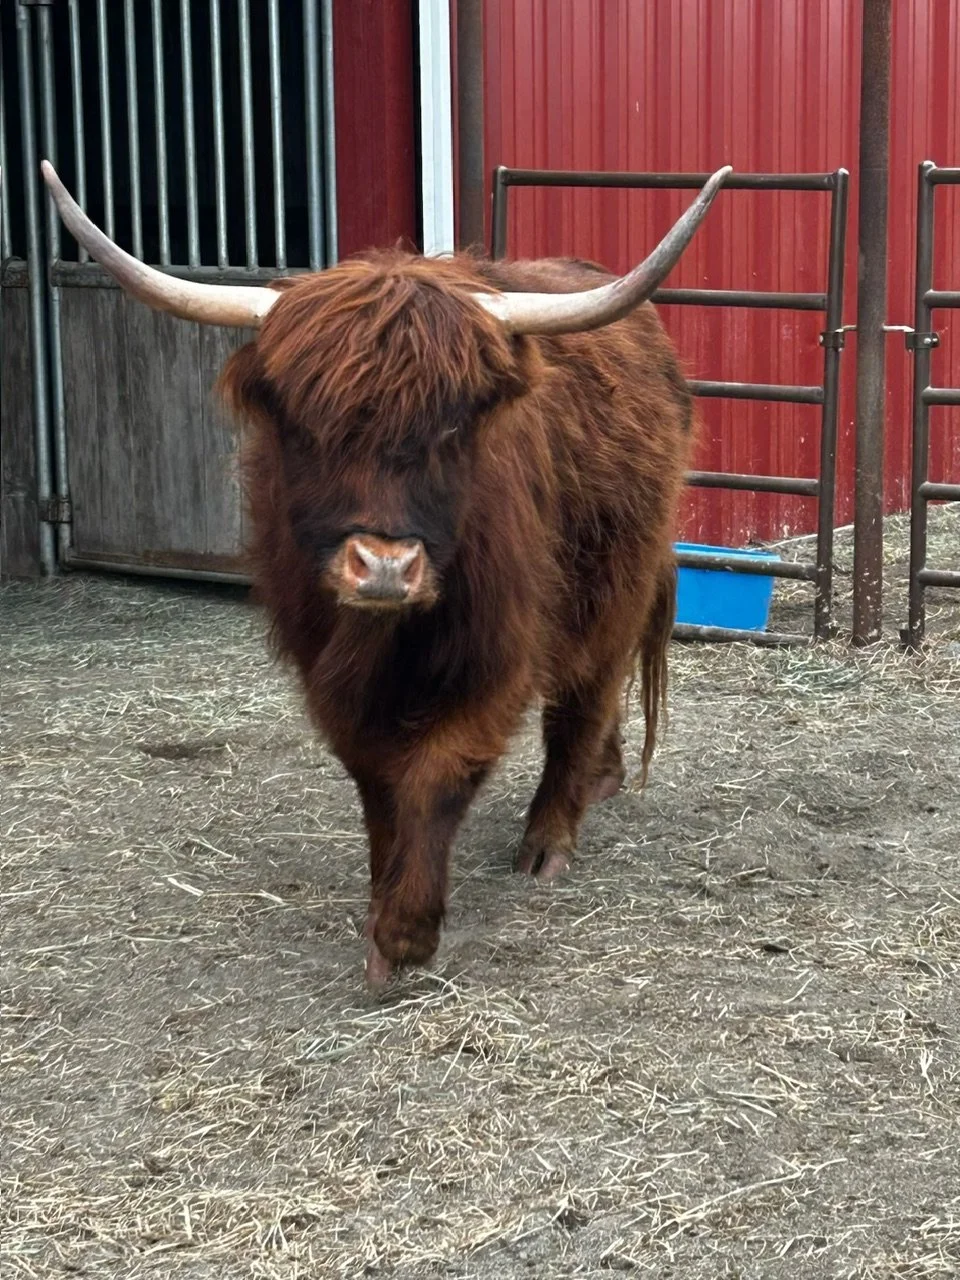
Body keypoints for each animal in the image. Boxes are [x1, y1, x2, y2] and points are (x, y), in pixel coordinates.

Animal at [42, 160, 730, 986]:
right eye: (309, 427)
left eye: (454, 426)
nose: (384, 568)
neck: (388, 636)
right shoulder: (329, 669)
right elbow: (376, 781)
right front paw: (382, 895)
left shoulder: (493, 656)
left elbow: (438, 774)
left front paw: (404, 934)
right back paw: (605, 776)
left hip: (615, 581)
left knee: (584, 698)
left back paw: (550, 838)